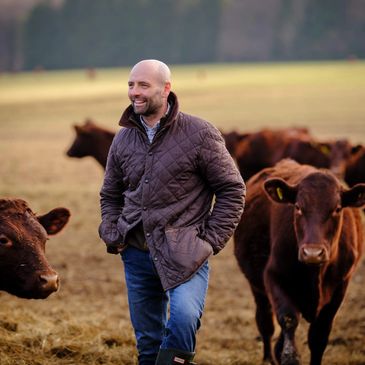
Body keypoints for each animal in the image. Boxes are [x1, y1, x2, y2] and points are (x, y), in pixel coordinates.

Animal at [233, 159, 364, 364]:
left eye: (337, 209)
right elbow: (288, 319)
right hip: (257, 287)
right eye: (297, 207)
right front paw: (288, 357)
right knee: (265, 322)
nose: (312, 253)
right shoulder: (273, 277)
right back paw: (268, 358)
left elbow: (319, 336)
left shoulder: (341, 286)